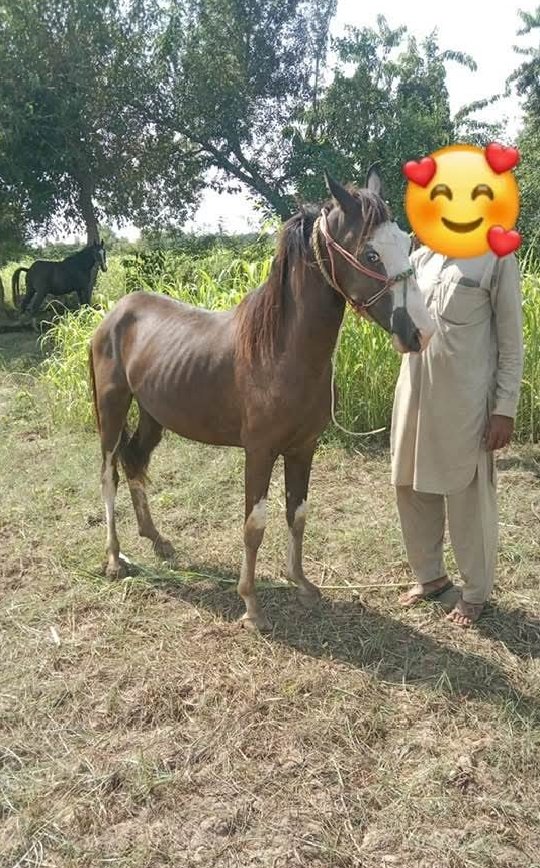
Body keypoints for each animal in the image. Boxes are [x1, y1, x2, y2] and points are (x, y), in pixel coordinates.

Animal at [89, 169, 435, 631]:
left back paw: (158, 542)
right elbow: (254, 525)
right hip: (111, 409)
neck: (282, 352)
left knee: (134, 462)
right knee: (109, 473)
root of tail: (114, 313)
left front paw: (302, 583)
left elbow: (297, 514)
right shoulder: (259, 451)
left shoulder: (303, 448)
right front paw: (251, 605)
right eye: (371, 253)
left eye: (407, 244)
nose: (421, 332)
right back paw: (113, 559)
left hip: (152, 415)